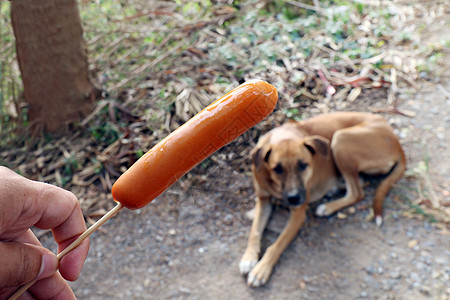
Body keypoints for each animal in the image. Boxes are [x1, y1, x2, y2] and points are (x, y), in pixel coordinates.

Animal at [239, 112, 408, 286]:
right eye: (277, 169)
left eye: (303, 165)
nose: (294, 198)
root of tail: (396, 142)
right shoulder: (263, 201)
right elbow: (254, 231)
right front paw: (248, 258)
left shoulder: (298, 214)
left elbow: (278, 243)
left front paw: (261, 270)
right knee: (360, 183)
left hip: (340, 139)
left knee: (357, 192)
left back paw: (327, 207)